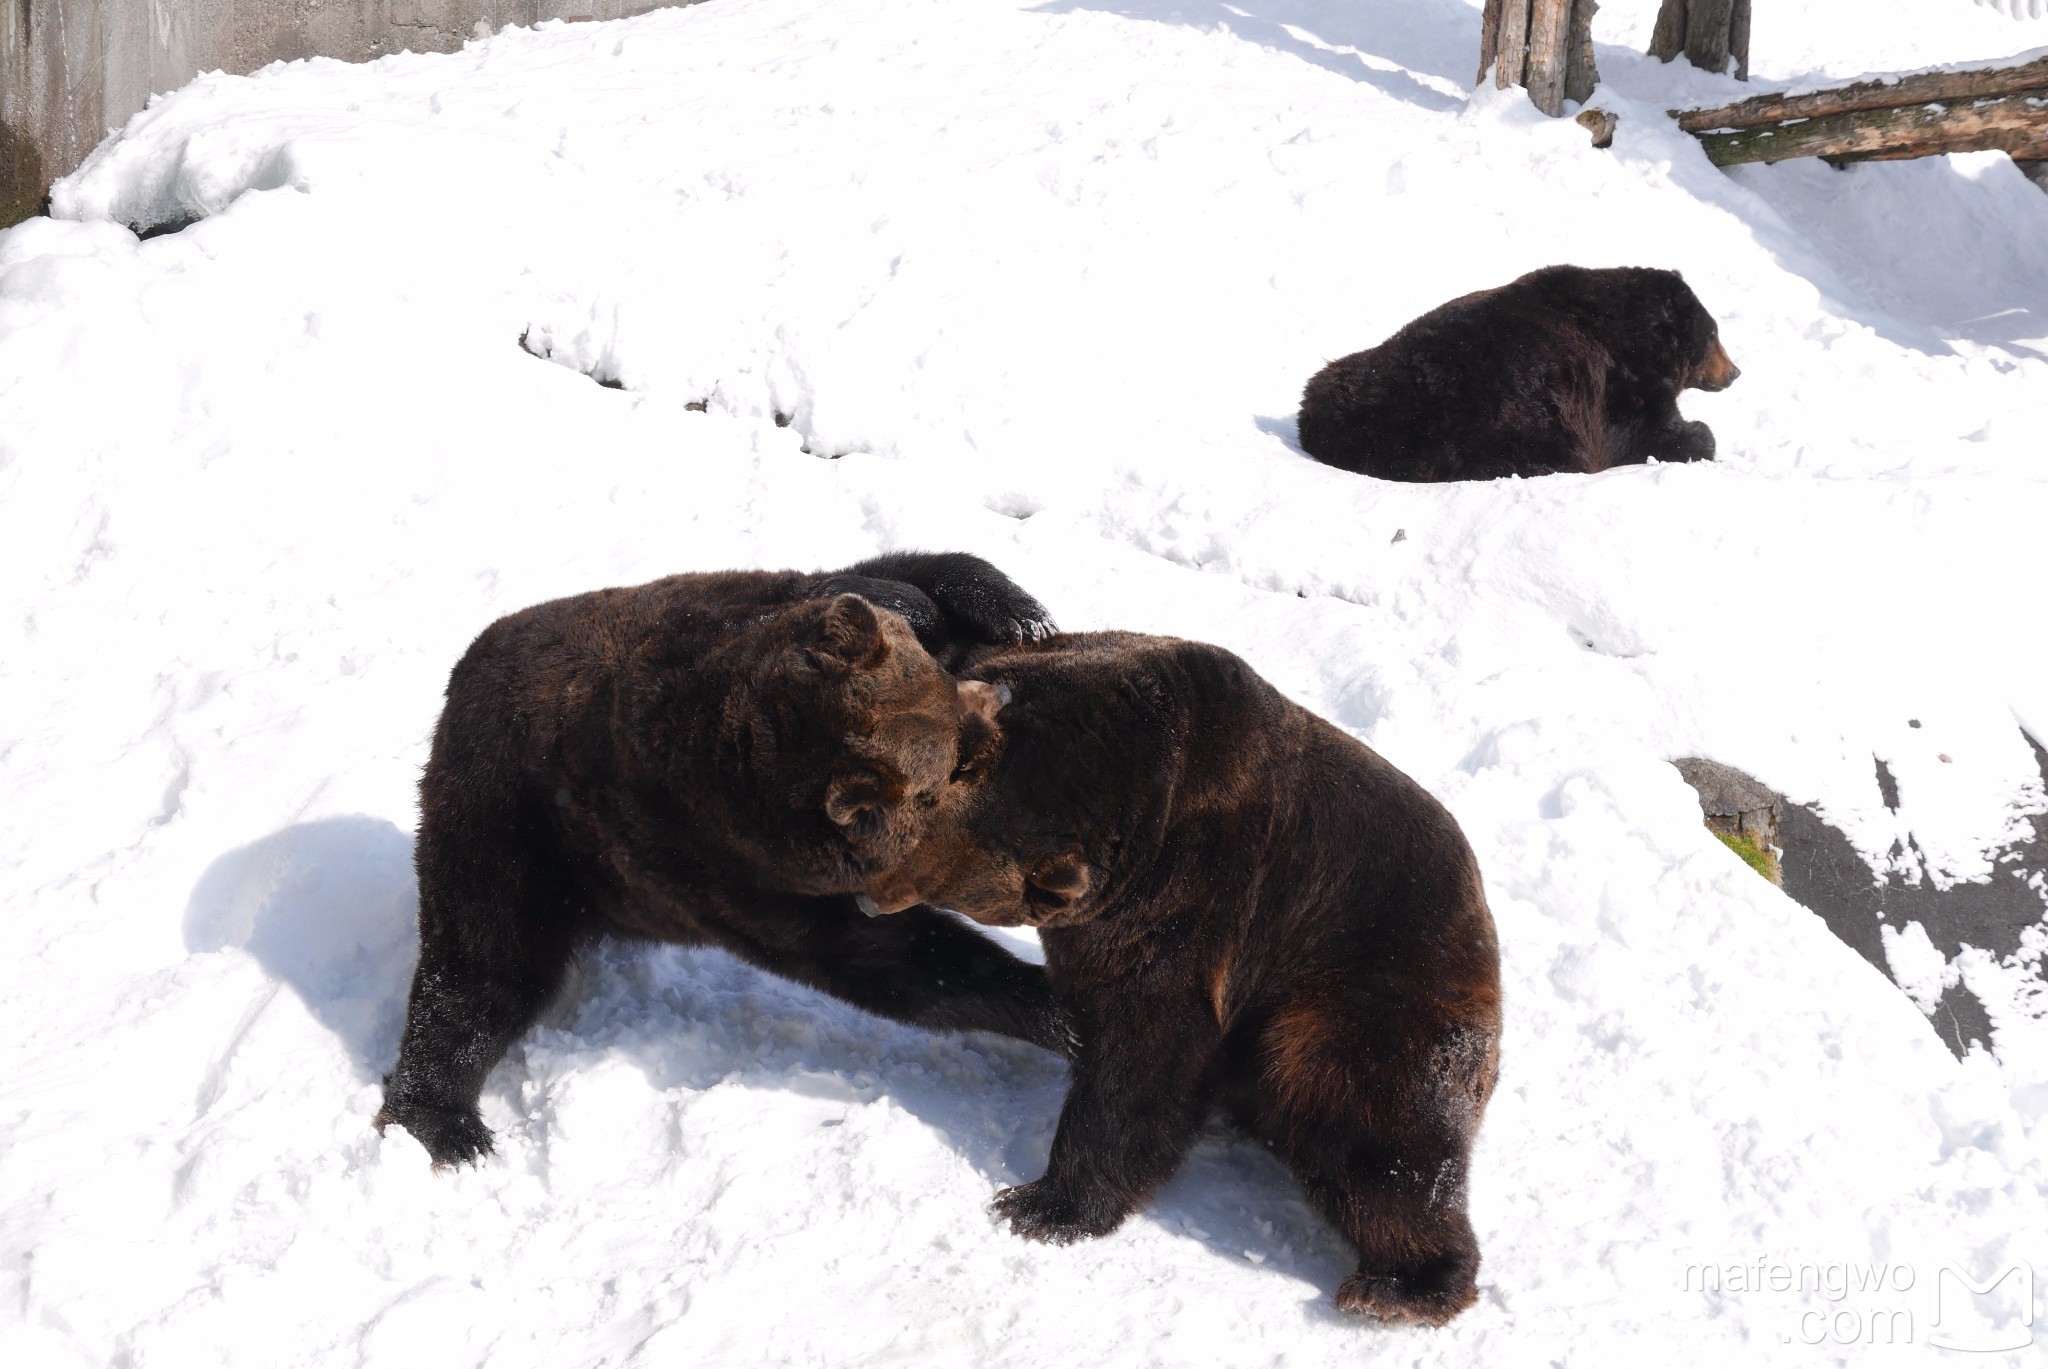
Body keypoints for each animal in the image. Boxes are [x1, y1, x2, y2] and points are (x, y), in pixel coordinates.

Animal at [378, 549, 1073, 1172]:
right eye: (951, 763)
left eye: (948, 684)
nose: (1002, 693)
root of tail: (460, 679)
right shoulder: (734, 873)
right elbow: (905, 964)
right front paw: (1057, 1010)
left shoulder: (727, 611)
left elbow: (890, 573)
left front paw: (1018, 614)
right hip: (506, 824)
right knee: (481, 969)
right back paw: (444, 1127)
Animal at [864, 635, 1507, 1328]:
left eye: (932, 867)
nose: (870, 899)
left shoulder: (1196, 897)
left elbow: (1145, 1054)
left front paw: (1041, 1204)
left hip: (1372, 990)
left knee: (1375, 1127)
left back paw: (1401, 1285)